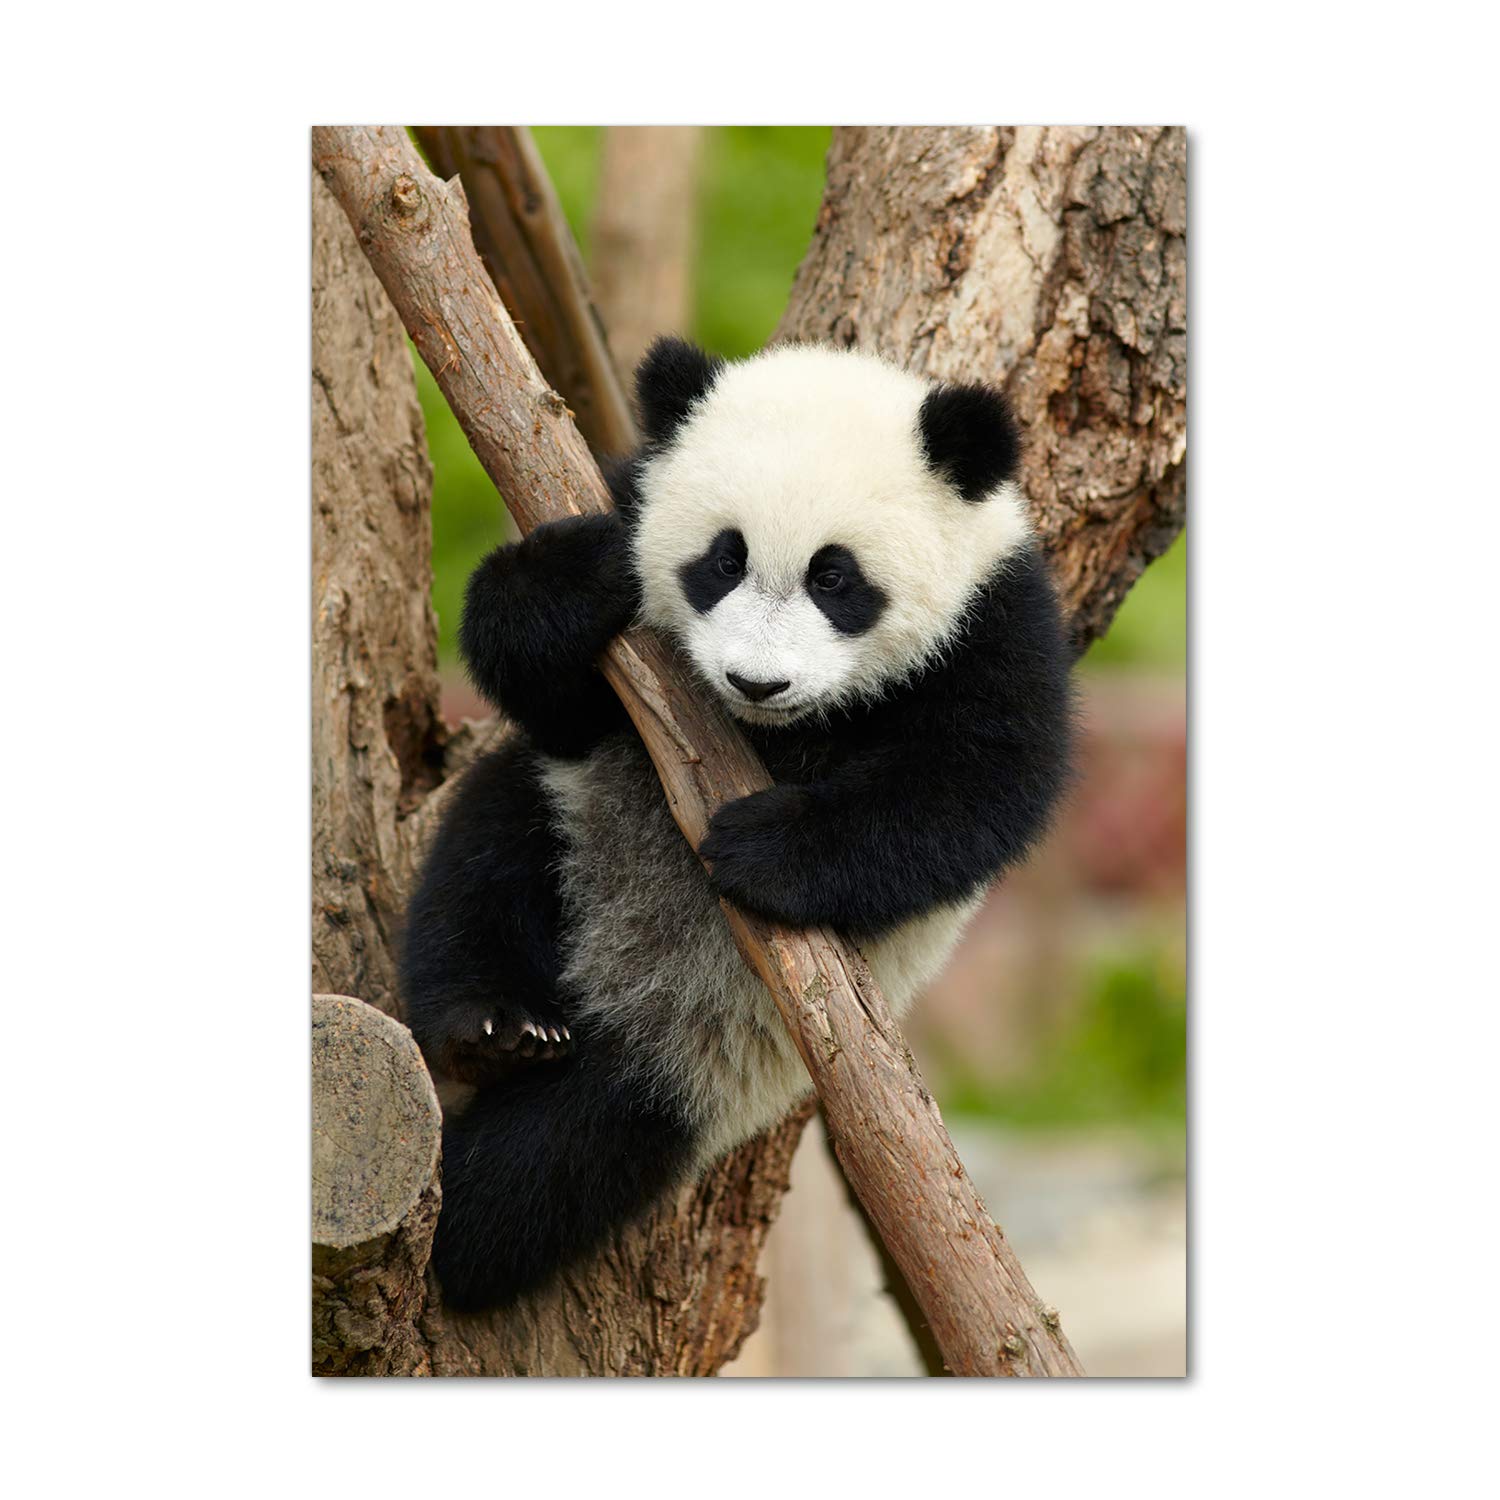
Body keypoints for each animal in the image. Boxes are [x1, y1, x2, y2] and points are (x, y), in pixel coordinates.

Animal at [401, 338, 1074, 1311]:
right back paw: (491, 1027)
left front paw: (764, 848)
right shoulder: (622, 541)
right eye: (723, 560)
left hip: (718, 1059)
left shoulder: (995, 619)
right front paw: (568, 582)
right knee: (482, 864)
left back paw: (469, 1232)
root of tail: (614, 994)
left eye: (835, 577)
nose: (758, 683)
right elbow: (547, 683)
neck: (779, 734)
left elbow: (980, 786)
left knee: (579, 1148)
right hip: (569, 814)